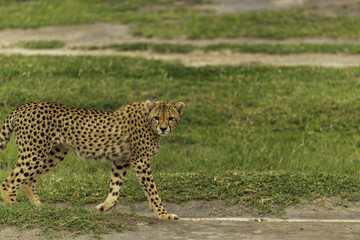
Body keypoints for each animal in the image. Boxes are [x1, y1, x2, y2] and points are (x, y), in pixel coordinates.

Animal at [0, 100, 186, 220]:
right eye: (157, 117)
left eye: (171, 118)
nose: (163, 128)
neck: (148, 121)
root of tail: (24, 106)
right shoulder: (140, 161)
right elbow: (153, 192)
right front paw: (164, 214)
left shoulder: (121, 161)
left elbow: (115, 189)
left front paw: (103, 207)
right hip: (34, 154)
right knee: (10, 182)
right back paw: (13, 208)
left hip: (54, 153)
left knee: (27, 180)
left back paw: (39, 207)